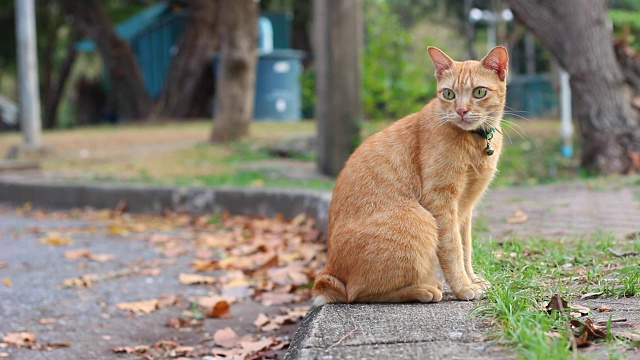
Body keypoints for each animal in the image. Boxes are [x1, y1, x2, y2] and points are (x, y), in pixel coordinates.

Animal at [312, 45, 508, 304]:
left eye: (479, 92)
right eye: (448, 94)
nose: (461, 111)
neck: (475, 141)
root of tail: (329, 273)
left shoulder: (465, 209)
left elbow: (466, 249)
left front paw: (472, 279)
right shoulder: (442, 202)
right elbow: (453, 250)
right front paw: (463, 287)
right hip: (420, 220)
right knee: (358, 293)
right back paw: (423, 289)